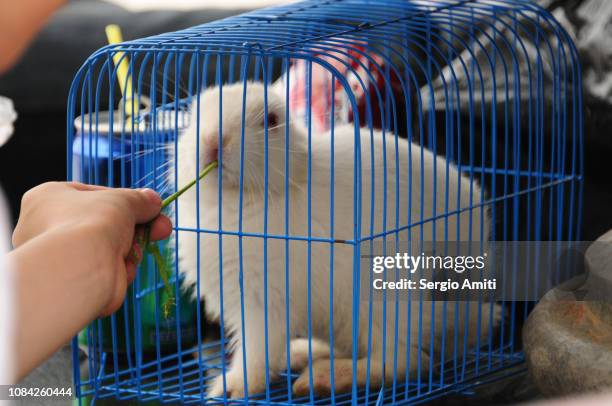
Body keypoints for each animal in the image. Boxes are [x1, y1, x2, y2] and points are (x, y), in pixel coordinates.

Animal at [172, 81, 498, 398]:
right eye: (193, 117)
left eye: (271, 121)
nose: (213, 142)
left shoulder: (263, 302)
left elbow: (256, 351)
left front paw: (231, 388)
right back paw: (302, 353)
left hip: (383, 300)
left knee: (403, 359)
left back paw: (324, 378)